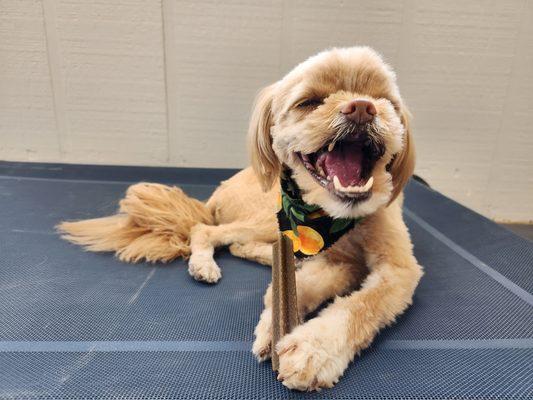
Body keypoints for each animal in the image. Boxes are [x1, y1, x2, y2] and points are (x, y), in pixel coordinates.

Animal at [58, 47, 422, 390]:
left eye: (386, 101)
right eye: (309, 102)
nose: (362, 107)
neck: (339, 219)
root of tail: (219, 192)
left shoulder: (394, 269)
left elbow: (359, 305)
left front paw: (311, 349)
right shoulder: (334, 257)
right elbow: (302, 287)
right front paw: (274, 324)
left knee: (237, 244)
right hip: (270, 215)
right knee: (208, 231)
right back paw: (205, 264)